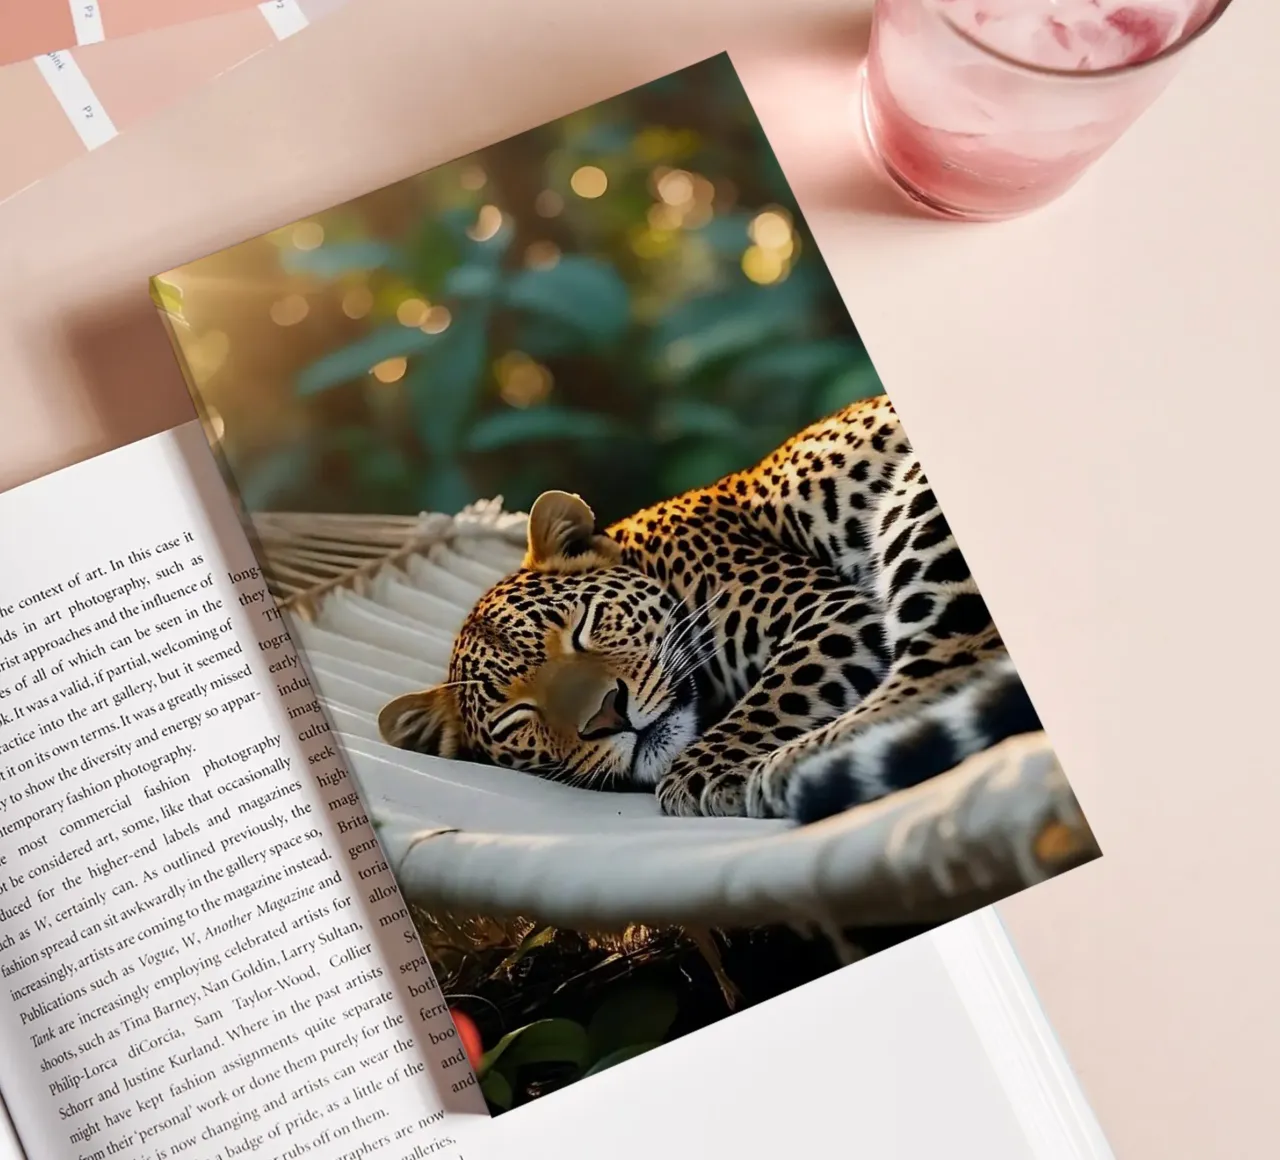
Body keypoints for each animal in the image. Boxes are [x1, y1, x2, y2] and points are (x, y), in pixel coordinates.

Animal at [377, 395, 1042, 824]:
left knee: (948, 663)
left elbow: (767, 704)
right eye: (519, 715)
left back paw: (789, 770)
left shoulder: (831, 610)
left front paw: (708, 774)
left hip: (916, 501)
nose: (607, 716)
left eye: (583, 628)